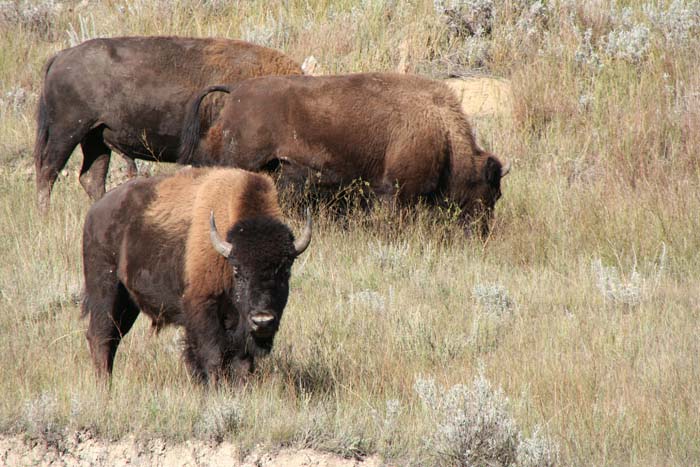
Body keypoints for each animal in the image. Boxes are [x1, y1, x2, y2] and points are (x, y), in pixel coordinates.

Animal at [34, 36, 302, 213]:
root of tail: (62, 55)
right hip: (68, 132)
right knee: (48, 171)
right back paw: (44, 215)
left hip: (94, 138)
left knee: (91, 177)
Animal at [81, 167, 311, 383]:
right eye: (238, 270)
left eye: (285, 270)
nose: (262, 320)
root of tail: (94, 212)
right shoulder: (202, 309)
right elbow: (212, 356)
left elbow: (242, 364)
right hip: (106, 288)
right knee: (101, 337)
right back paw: (104, 386)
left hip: (128, 303)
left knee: (113, 338)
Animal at [179, 73, 510, 236]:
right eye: (490, 191)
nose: (482, 231)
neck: (442, 131)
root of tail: (236, 90)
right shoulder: (397, 192)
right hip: (240, 159)